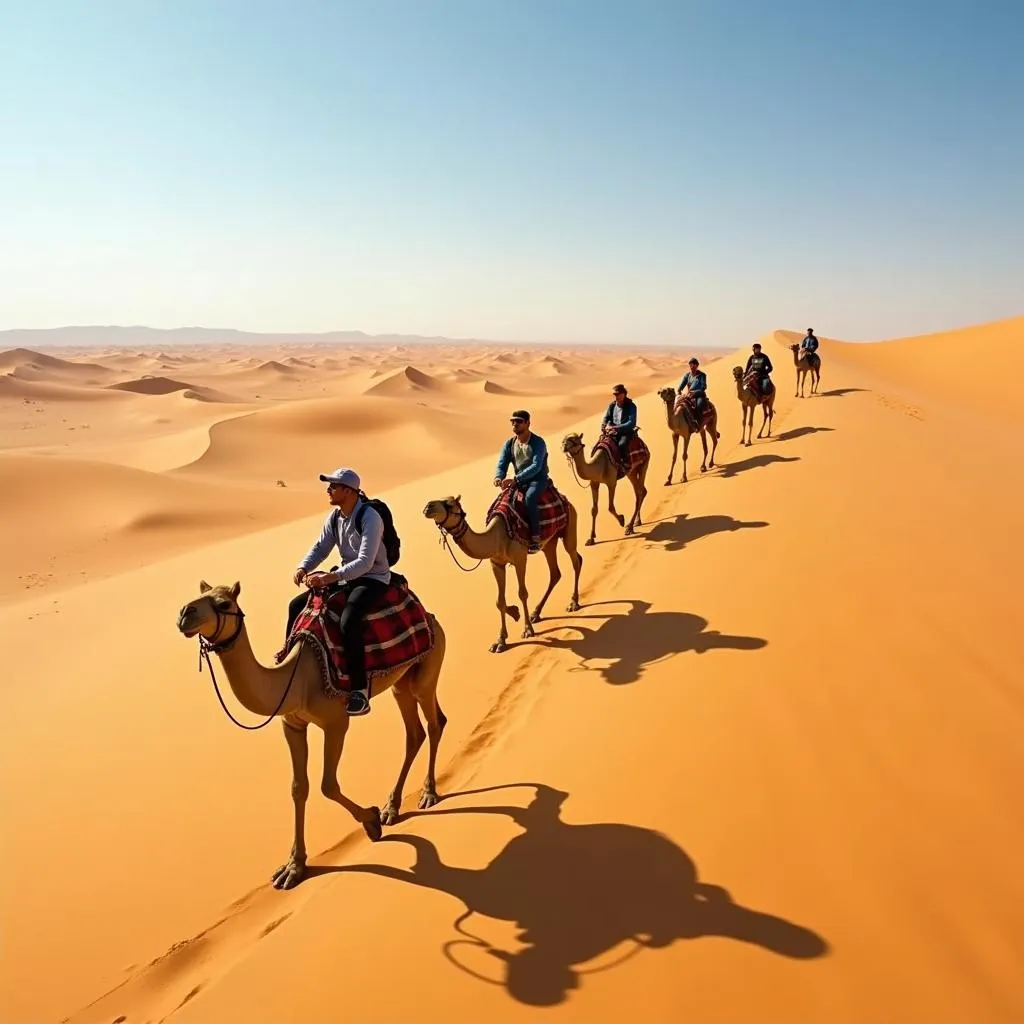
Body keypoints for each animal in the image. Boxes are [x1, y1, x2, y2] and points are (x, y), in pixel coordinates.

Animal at [177, 585, 448, 888]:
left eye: (223, 603)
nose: (185, 614)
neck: (298, 682)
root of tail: (431, 617)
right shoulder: (292, 725)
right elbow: (299, 788)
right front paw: (293, 867)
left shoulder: (336, 723)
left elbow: (327, 785)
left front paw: (371, 821)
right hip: (400, 682)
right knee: (414, 733)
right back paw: (392, 808)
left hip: (427, 669)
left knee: (434, 723)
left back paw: (428, 794)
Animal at [423, 491, 585, 651]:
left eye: (449, 504)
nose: (428, 507)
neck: (497, 537)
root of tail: (565, 499)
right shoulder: (496, 563)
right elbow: (499, 601)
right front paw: (502, 638)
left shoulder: (520, 559)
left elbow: (522, 593)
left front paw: (527, 629)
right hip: (549, 542)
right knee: (555, 573)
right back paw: (535, 613)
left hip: (569, 528)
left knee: (575, 560)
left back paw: (573, 603)